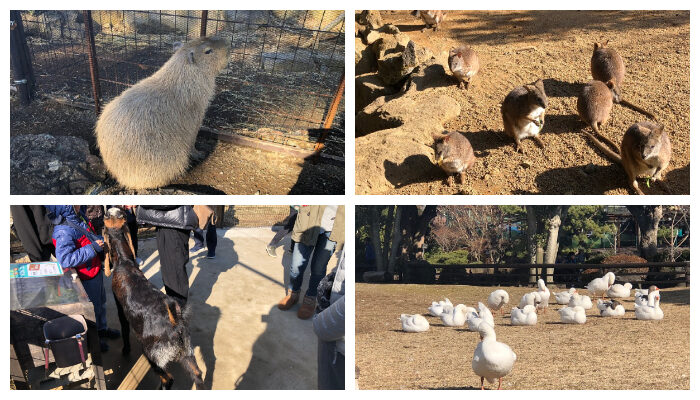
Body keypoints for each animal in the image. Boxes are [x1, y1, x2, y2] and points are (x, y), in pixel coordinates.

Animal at [102, 208, 204, 390]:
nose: (112, 210)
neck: (124, 261)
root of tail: (175, 324)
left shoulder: (120, 307)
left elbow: (124, 328)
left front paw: (126, 350)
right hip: (187, 351)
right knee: (197, 374)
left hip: (154, 355)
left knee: (168, 378)